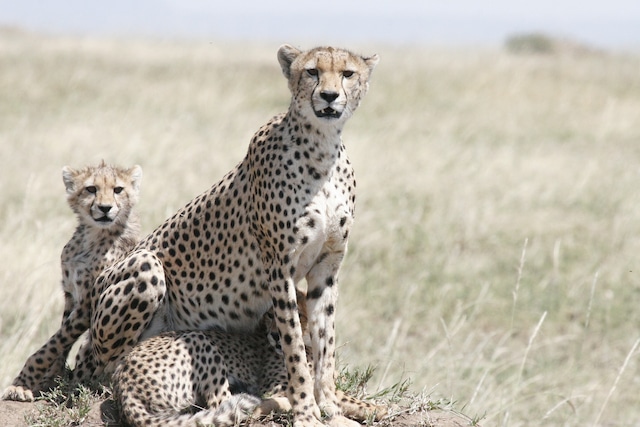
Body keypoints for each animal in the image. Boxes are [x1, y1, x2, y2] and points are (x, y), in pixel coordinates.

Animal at [2, 162, 142, 402]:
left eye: (118, 190)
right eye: (91, 189)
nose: (105, 208)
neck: (93, 236)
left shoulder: (88, 303)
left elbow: (53, 343)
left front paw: (21, 384)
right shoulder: (71, 294)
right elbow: (60, 339)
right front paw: (52, 378)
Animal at [84, 44, 378, 427]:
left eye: (347, 74)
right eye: (312, 71)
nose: (329, 96)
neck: (322, 147)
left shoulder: (327, 267)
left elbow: (324, 342)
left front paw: (330, 406)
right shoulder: (279, 267)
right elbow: (295, 348)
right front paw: (305, 411)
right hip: (145, 269)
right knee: (109, 370)